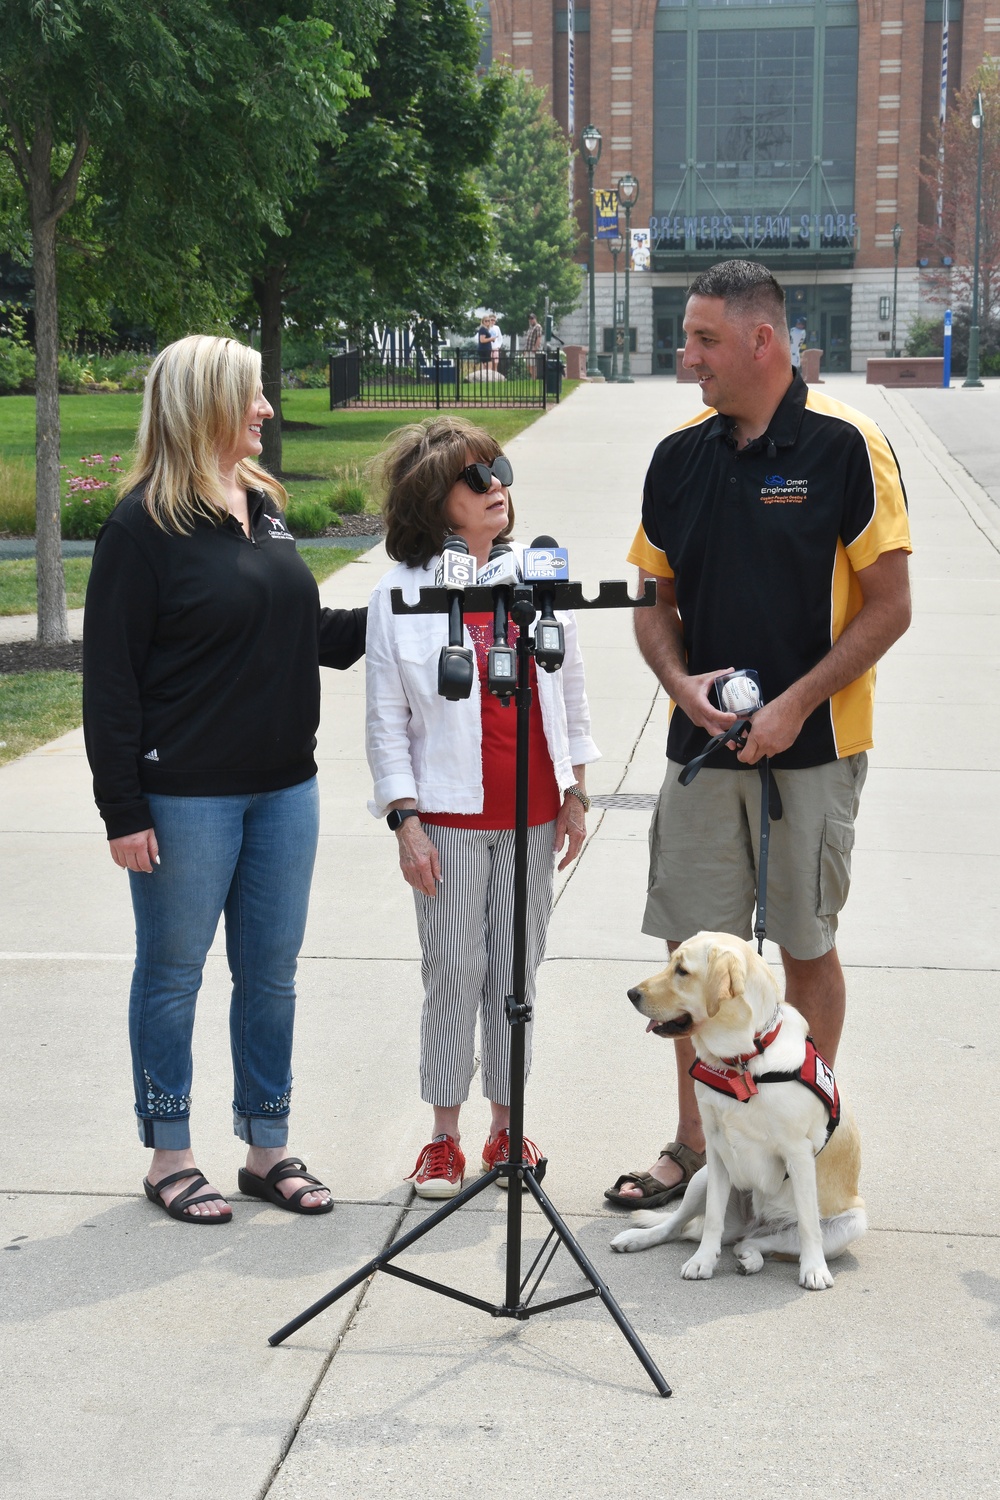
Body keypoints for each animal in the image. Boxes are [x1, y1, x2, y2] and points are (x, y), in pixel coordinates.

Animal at [614, 924, 863, 1290]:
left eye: (682, 971)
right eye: (670, 963)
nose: (632, 994)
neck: (743, 1059)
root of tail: (752, 1223)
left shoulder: (799, 1154)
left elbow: (808, 1224)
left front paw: (814, 1269)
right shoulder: (717, 1150)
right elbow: (712, 1219)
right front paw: (703, 1261)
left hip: (852, 1224)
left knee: (760, 1242)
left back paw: (752, 1258)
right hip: (701, 1178)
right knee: (679, 1226)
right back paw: (637, 1239)